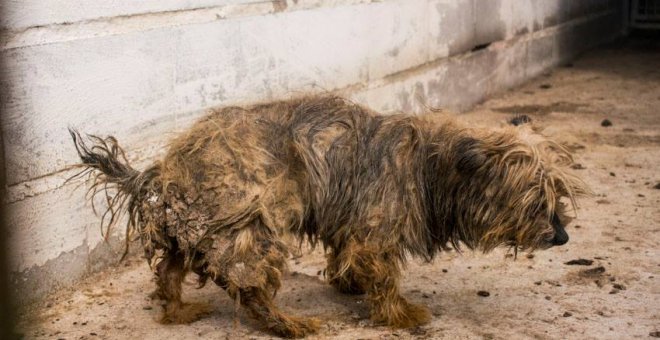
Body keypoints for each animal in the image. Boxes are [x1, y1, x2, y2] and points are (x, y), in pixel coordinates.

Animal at [69, 95, 592, 338]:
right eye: (535, 199)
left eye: (558, 193)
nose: (563, 238)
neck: (431, 165)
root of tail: (163, 169)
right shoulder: (376, 232)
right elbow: (385, 278)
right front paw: (399, 315)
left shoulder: (351, 223)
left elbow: (347, 257)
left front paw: (348, 284)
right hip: (254, 228)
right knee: (248, 285)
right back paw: (288, 324)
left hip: (193, 230)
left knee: (169, 272)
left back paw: (178, 310)